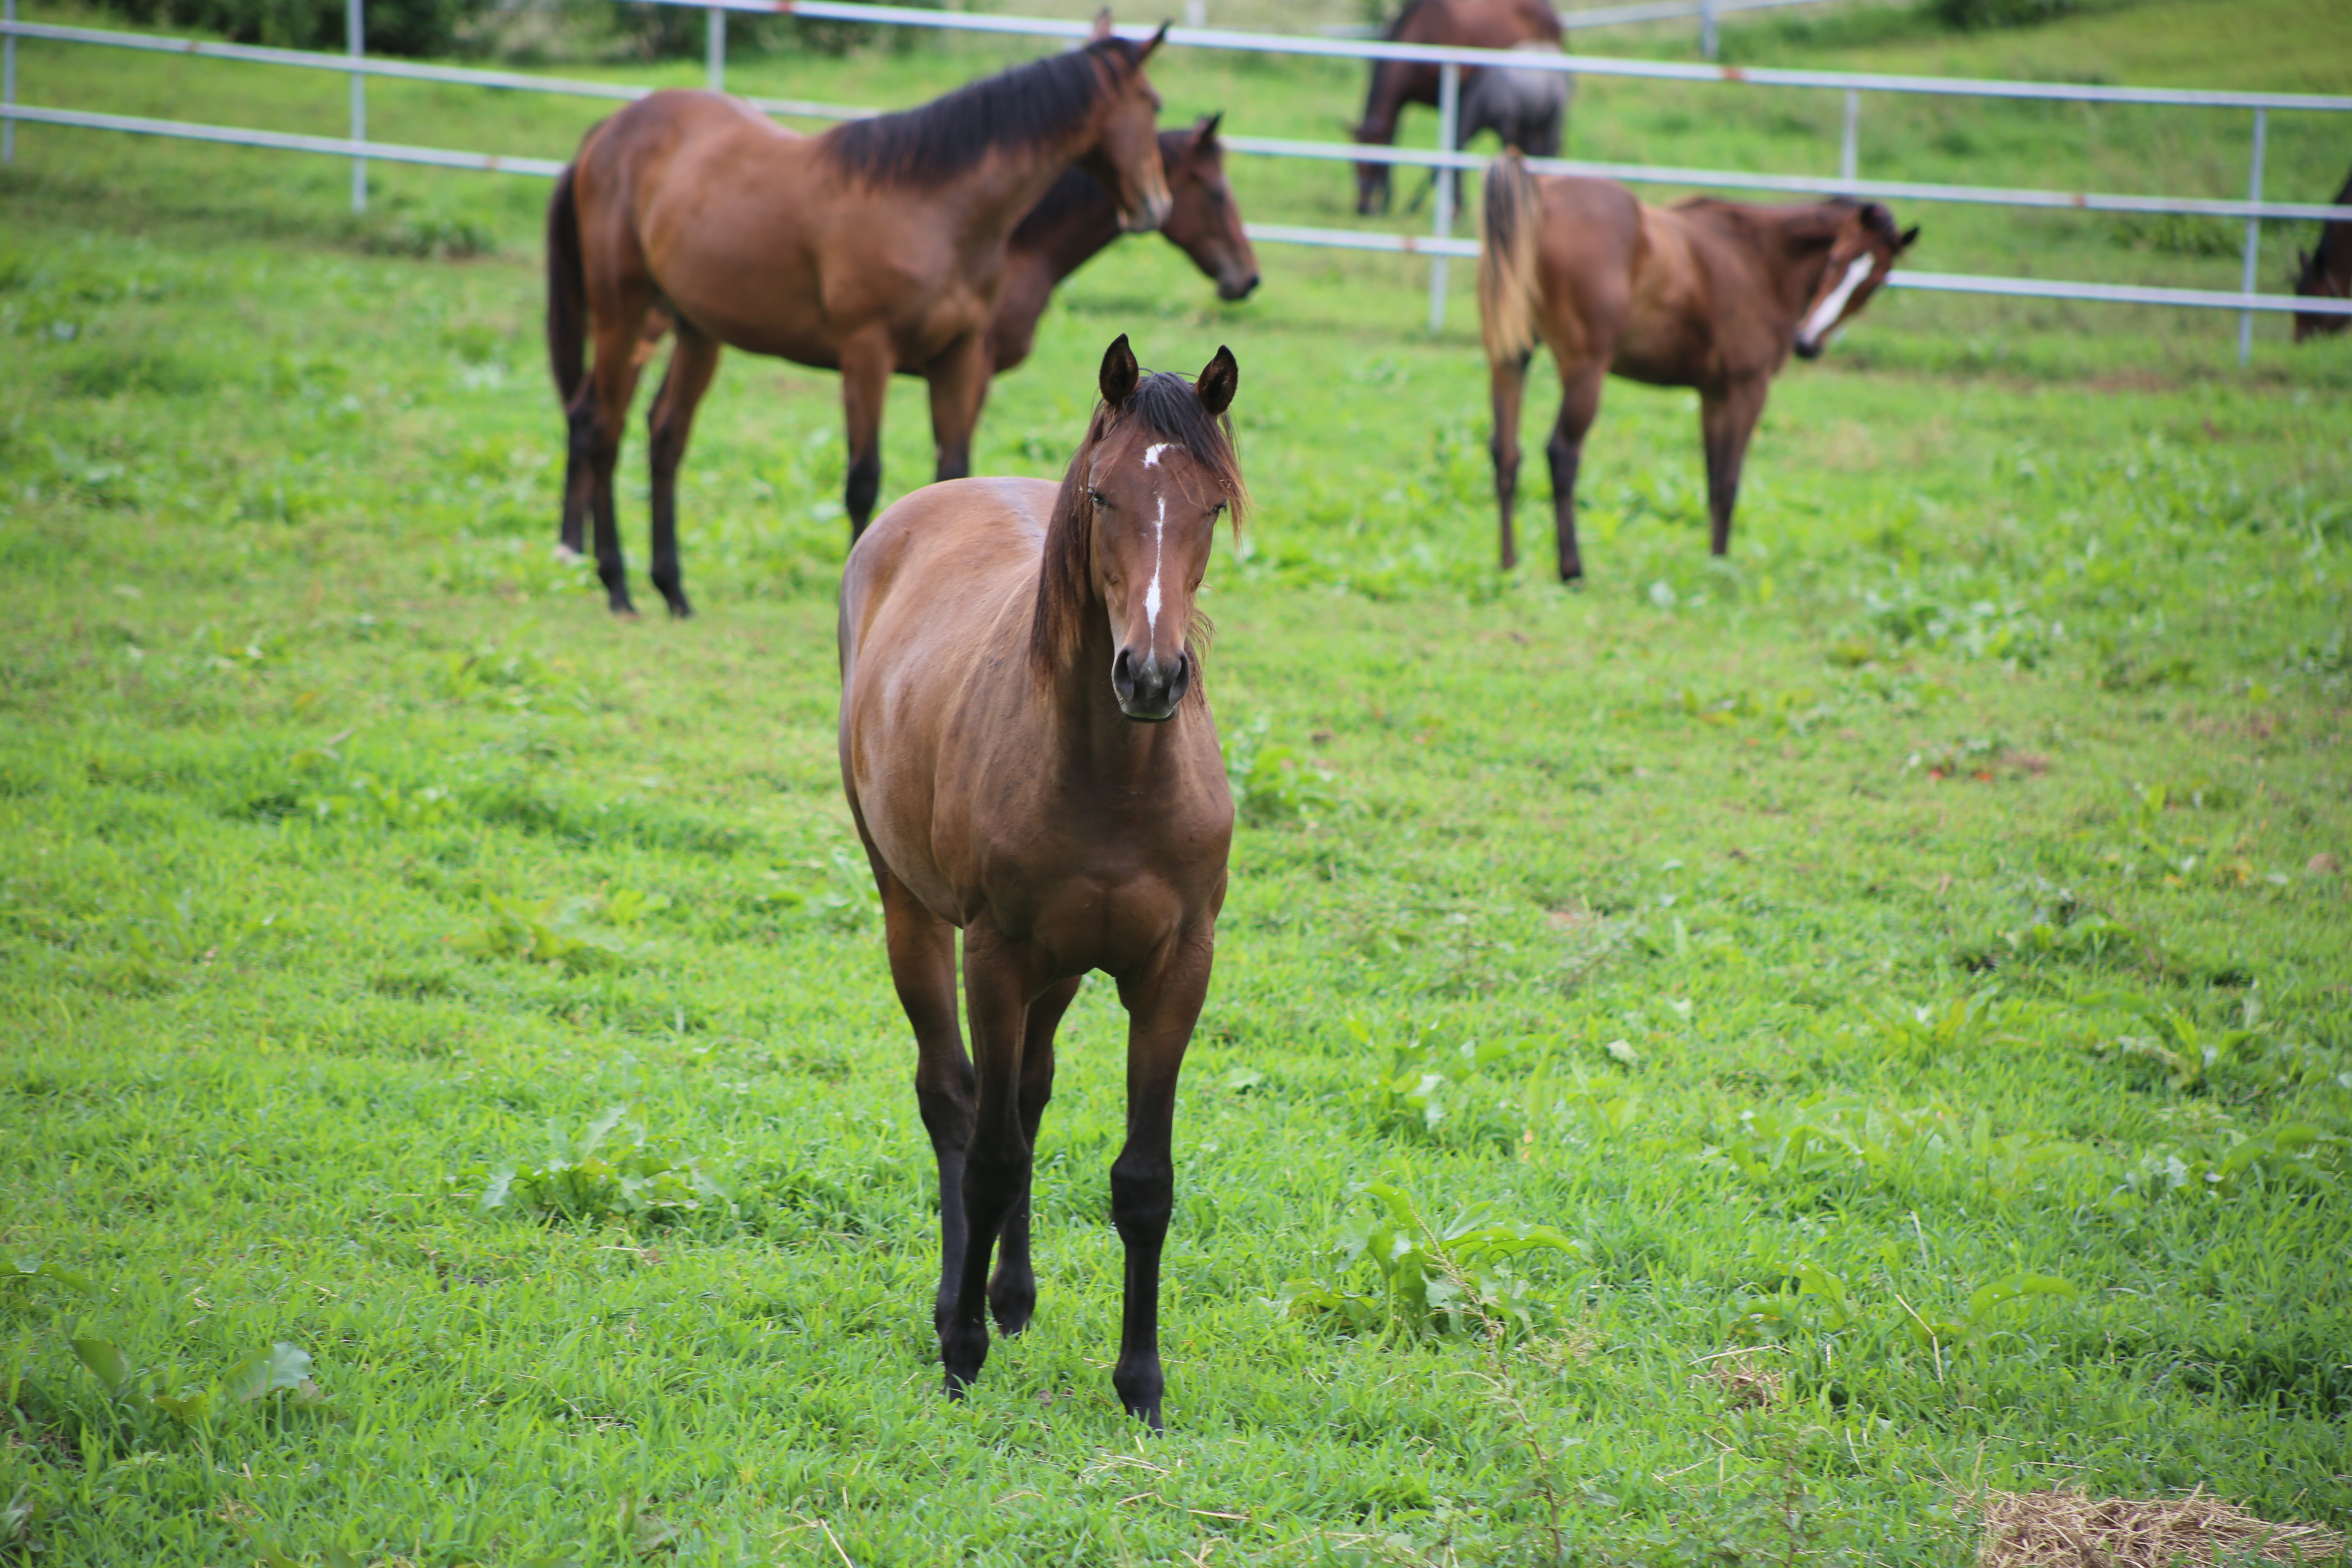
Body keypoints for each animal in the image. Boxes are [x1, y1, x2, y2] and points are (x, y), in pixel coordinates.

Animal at [550, 29, 1176, 620]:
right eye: (1153, 103)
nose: (1156, 204)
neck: (936, 208)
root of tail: (607, 132)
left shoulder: (959, 357)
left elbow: (954, 471)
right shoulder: (867, 352)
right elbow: (863, 479)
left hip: (697, 332)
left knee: (665, 437)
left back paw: (673, 591)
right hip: (624, 315)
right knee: (603, 431)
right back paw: (617, 586)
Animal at [842, 334, 1251, 1439]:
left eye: (1210, 506)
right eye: (1104, 497)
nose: (1149, 676)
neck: (1115, 777)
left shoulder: (1175, 971)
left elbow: (1141, 1179)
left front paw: (1140, 1383)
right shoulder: (996, 955)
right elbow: (988, 1155)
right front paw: (962, 1355)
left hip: (1062, 972)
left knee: (1024, 1096)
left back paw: (1011, 1294)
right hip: (912, 914)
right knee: (954, 1101)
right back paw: (958, 1300)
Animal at [1486, 151, 1910, 583]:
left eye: (1877, 282)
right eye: (1836, 260)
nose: (1808, 344)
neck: (1760, 259)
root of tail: (1539, 191)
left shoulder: (1714, 394)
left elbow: (1712, 477)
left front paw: (1713, 561)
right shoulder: (1747, 389)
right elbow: (1728, 482)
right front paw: (1721, 568)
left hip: (1509, 359)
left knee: (1506, 453)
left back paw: (1508, 564)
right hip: (1585, 372)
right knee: (1562, 455)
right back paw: (1572, 571)